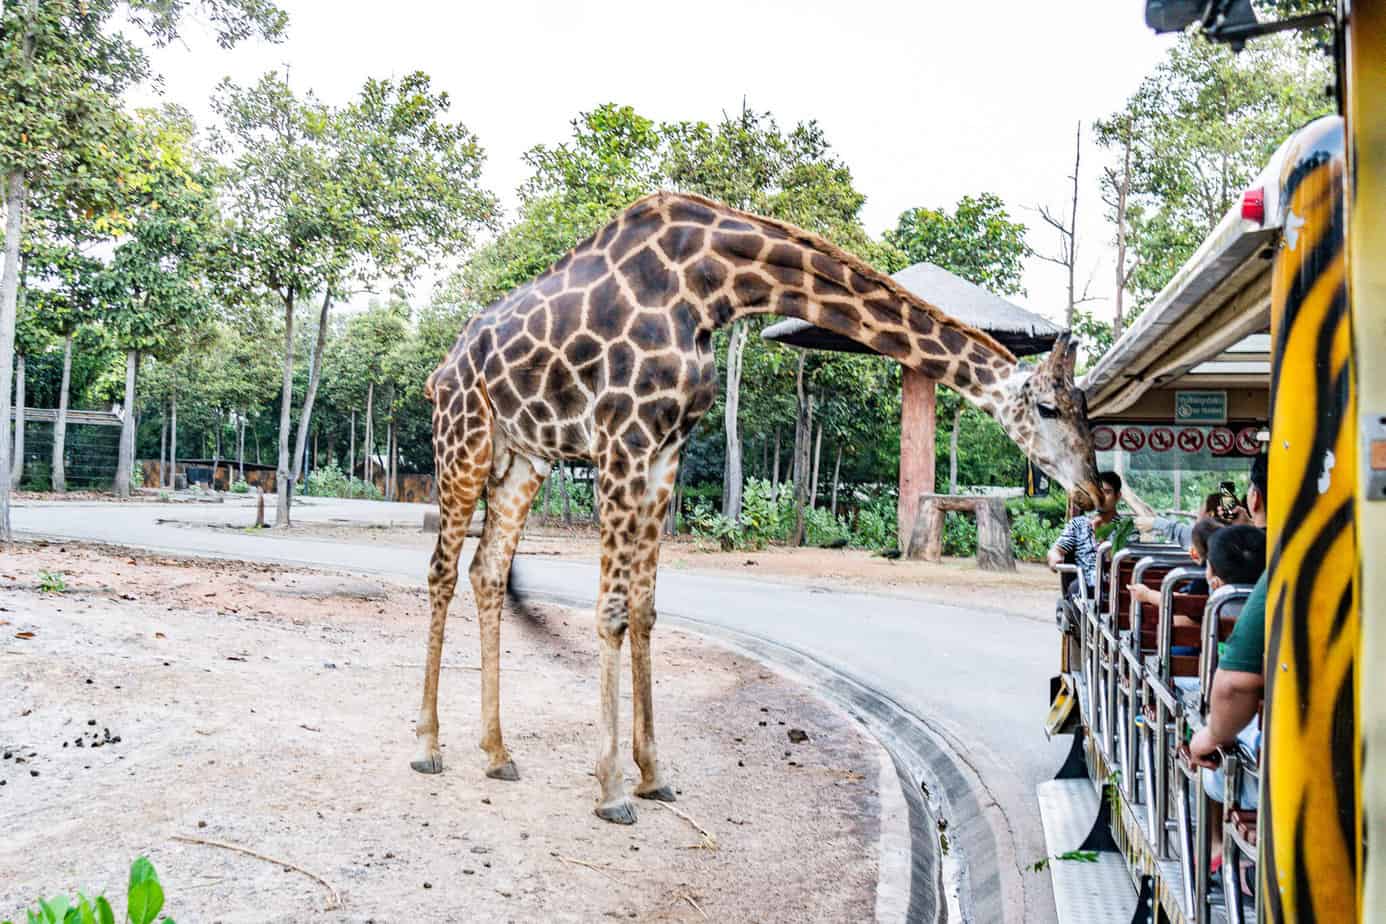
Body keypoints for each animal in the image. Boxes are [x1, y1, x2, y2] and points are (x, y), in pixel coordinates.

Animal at [413, 191, 1100, 824]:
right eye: (1048, 408)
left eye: (1086, 408)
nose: (1093, 492)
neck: (710, 286)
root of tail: (439, 371)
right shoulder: (622, 440)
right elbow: (609, 612)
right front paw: (610, 789)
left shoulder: (664, 452)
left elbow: (644, 611)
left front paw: (654, 774)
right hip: (464, 441)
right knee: (442, 571)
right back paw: (427, 746)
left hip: (521, 458)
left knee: (487, 571)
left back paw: (497, 753)